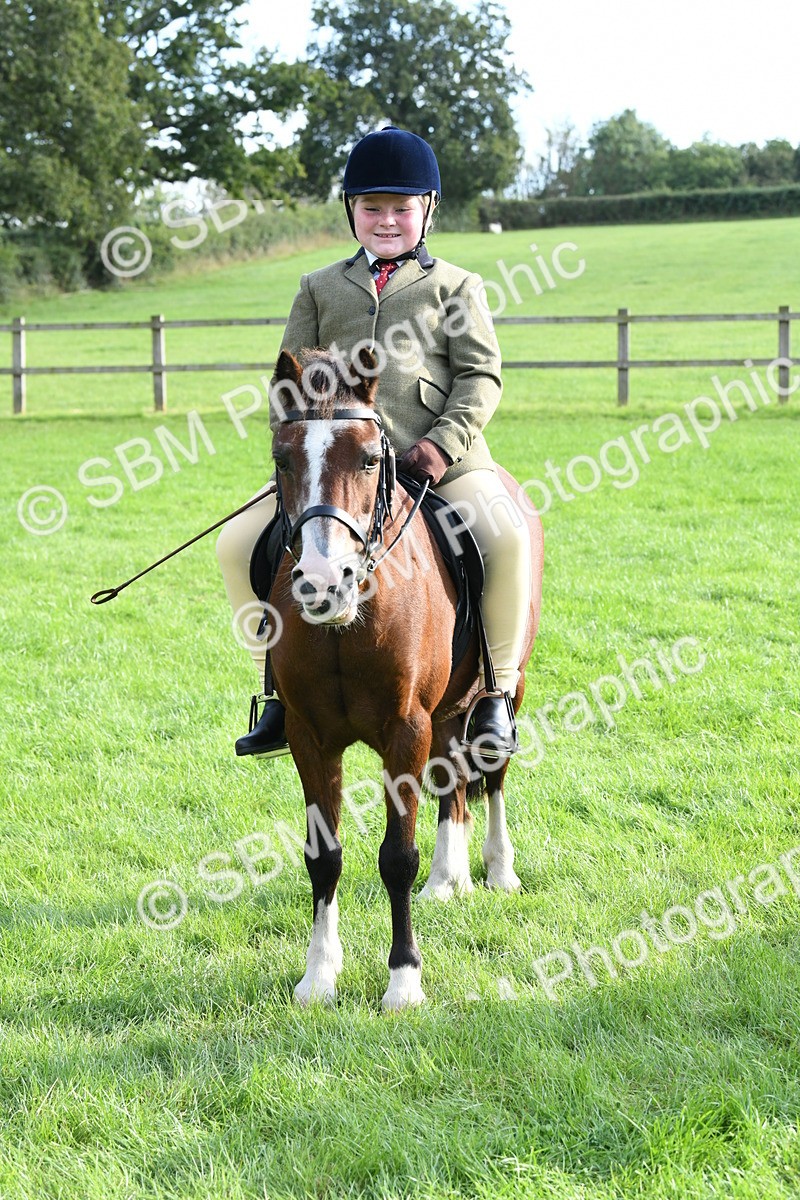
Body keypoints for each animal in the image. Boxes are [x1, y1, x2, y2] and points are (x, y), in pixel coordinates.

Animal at [267, 347, 543, 1010]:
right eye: (282, 459)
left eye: (370, 458)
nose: (323, 584)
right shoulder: (309, 736)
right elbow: (324, 856)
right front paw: (319, 976)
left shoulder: (404, 730)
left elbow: (396, 856)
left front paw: (403, 980)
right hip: (443, 713)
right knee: (452, 784)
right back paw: (448, 879)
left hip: (505, 689)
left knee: (492, 771)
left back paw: (498, 870)